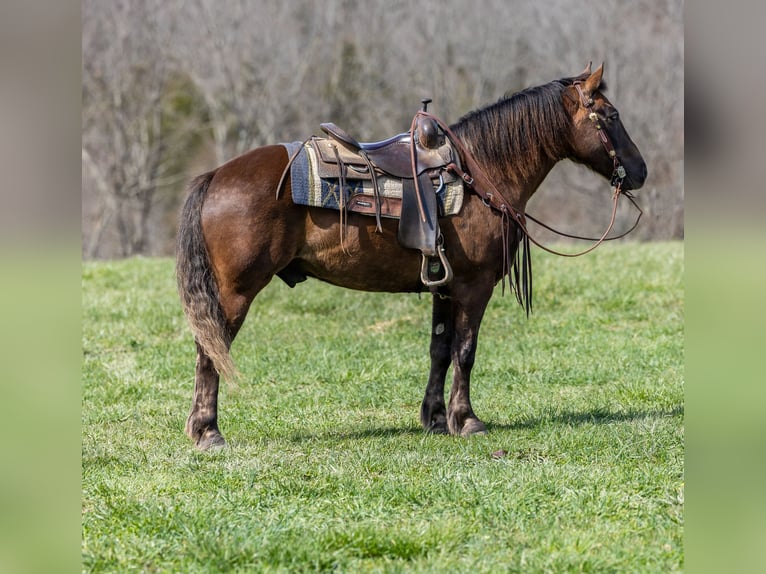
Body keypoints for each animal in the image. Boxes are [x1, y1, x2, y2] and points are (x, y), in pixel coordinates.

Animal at [178, 63, 648, 450]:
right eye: (611, 116)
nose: (640, 171)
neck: (482, 173)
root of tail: (215, 175)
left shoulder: (445, 285)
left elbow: (440, 350)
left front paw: (436, 419)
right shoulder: (474, 287)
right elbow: (465, 351)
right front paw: (467, 420)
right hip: (236, 291)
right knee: (210, 350)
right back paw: (208, 431)